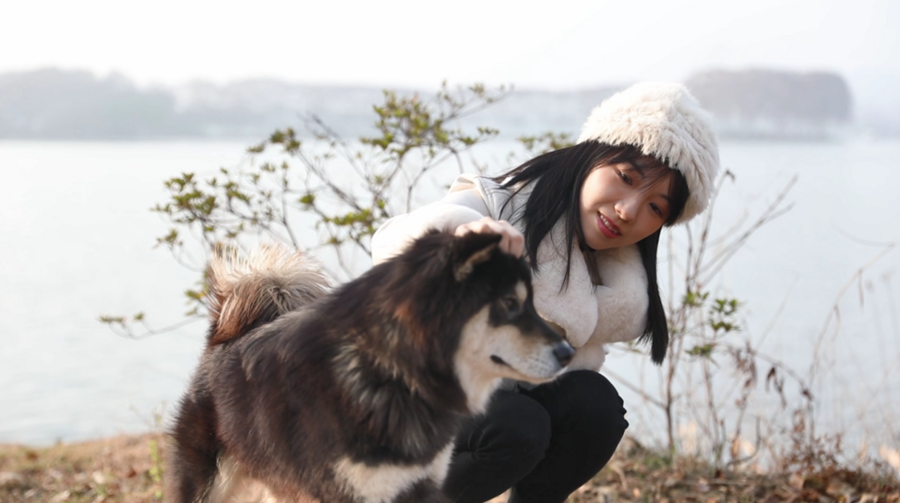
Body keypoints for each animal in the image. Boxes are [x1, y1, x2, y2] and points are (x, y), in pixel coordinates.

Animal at [166, 230, 575, 503]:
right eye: (510, 303)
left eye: (530, 303)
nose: (568, 352)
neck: (391, 376)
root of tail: (222, 339)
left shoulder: (418, 484)